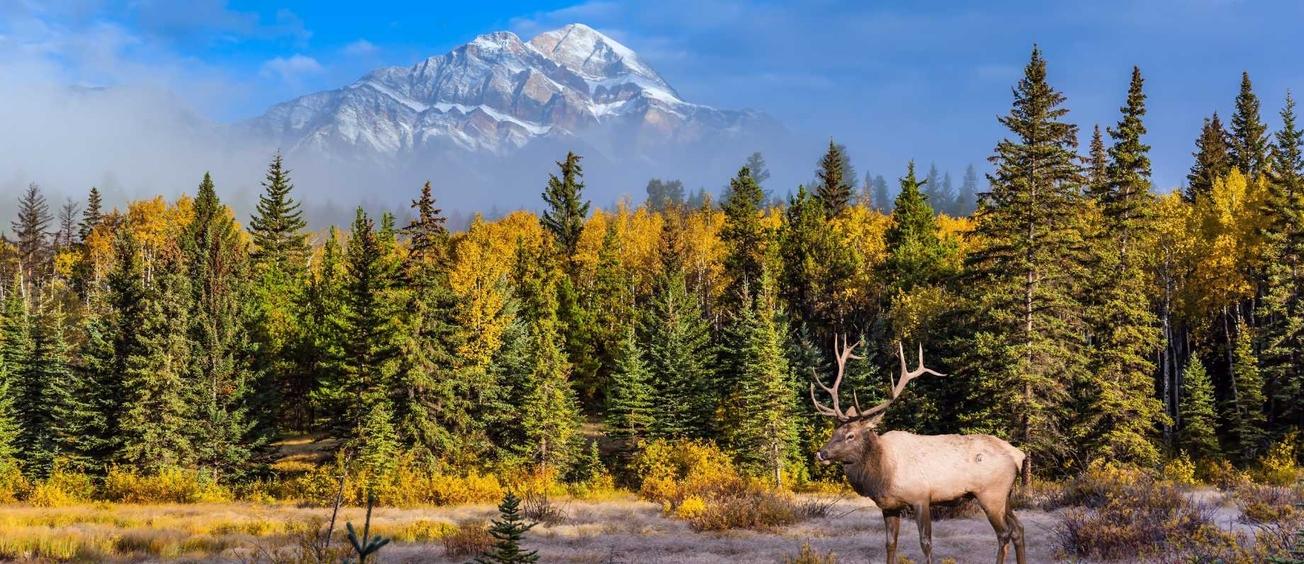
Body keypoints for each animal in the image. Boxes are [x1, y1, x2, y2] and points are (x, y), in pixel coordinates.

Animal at [810, 336, 1026, 564]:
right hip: (1005, 495)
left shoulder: (921, 496)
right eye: (835, 431)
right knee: (1018, 528)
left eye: (851, 435)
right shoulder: (889, 506)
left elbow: (926, 543)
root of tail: (1018, 455)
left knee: (1004, 533)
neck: (882, 473)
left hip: (991, 493)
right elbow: (890, 543)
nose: (822, 453)